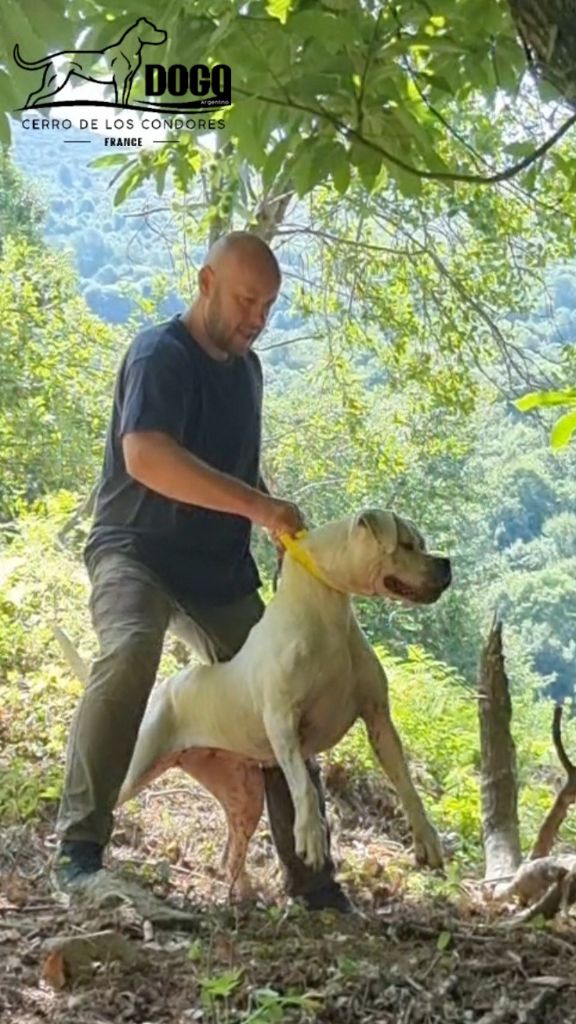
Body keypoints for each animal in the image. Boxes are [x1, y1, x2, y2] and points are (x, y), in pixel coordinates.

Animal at [117, 512, 448, 897]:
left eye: (421, 544)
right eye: (407, 545)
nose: (446, 563)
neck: (328, 613)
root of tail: (167, 685)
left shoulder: (378, 717)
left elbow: (405, 782)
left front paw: (426, 838)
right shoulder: (282, 721)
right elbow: (302, 785)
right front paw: (311, 837)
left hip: (244, 795)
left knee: (232, 849)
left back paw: (243, 895)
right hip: (138, 767)